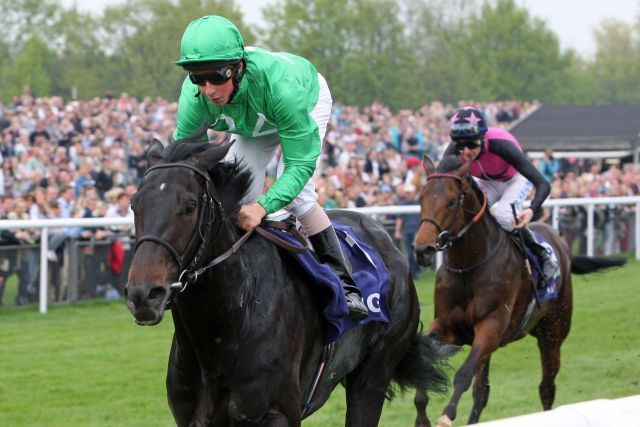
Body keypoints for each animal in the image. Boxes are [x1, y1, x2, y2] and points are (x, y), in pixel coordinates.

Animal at [124, 137, 456, 427]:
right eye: (134, 204)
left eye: (190, 206)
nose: (143, 294)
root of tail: (385, 237)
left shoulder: (277, 414)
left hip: (374, 374)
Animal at [410, 156, 624, 427]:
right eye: (421, 198)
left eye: (450, 201)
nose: (422, 249)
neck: (468, 266)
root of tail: (561, 242)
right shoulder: (447, 327)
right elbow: (424, 360)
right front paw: (422, 418)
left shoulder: (491, 328)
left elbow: (464, 374)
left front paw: (446, 416)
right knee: (483, 392)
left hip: (552, 334)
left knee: (546, 387)